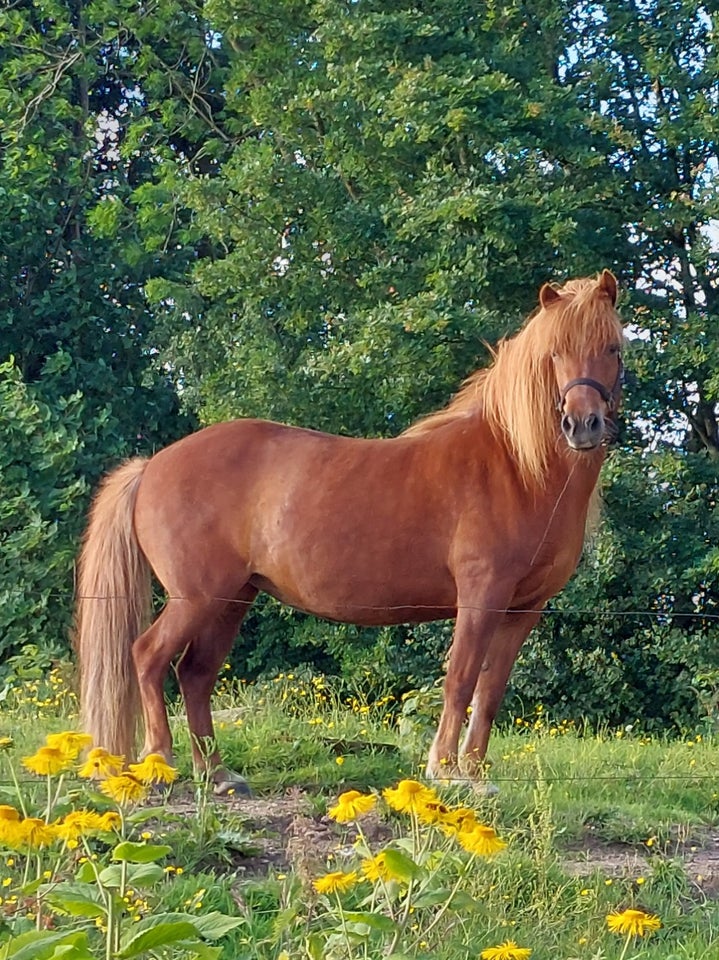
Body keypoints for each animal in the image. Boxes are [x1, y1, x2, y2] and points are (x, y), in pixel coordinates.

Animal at [74, 268, 624, 788]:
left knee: (195, 674)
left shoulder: (523, 609)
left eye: (614, 347)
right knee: (148, 657)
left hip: (231, 599)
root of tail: (152, 465)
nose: (583, 425)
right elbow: (461, 678)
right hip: (196, 597)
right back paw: (161, 762)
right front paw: (445, 770)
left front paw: (474, 772)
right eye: (555, 353)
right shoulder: (480, 595)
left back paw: (217, 772)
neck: (515, 464)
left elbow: (489, 691)